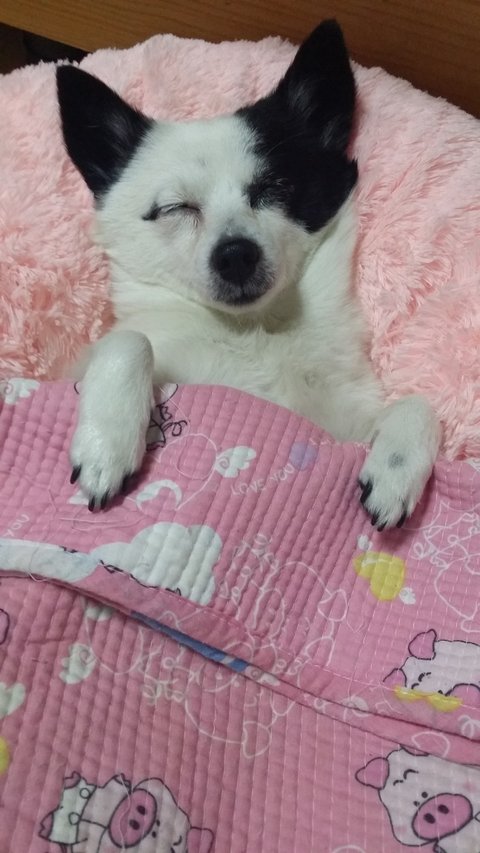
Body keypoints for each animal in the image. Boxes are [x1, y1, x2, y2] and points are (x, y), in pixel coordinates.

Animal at [56, 20, 441, 529]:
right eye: (176, 208)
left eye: (276, 187)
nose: (236, 255)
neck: (253, 330)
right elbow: (129, 340)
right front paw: (107, 446)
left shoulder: (343, 425)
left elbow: (419, 405)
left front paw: (395, 470)